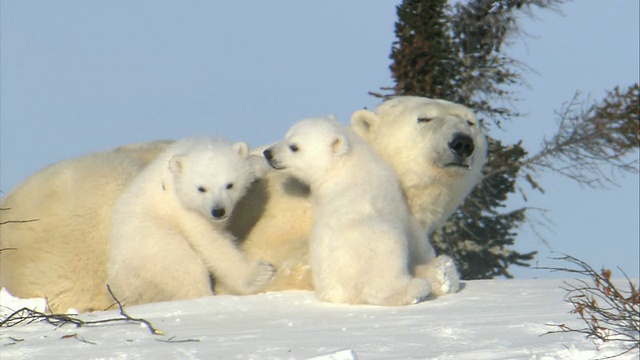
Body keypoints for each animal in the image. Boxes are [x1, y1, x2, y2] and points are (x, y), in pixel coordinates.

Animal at [107, 139, 272, 306]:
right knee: (185, 267)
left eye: (229, 185)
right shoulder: (185, 211)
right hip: (155, 244)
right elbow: (211, 241)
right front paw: (260, 274)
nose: (218, 211)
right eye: (201, 189)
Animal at [262, 116, 432, 306]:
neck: (346, 165)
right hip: (375, 243)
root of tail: (344, 293)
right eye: (287, 137)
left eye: (294, 146)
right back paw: (417, 288)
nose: (268, 153)